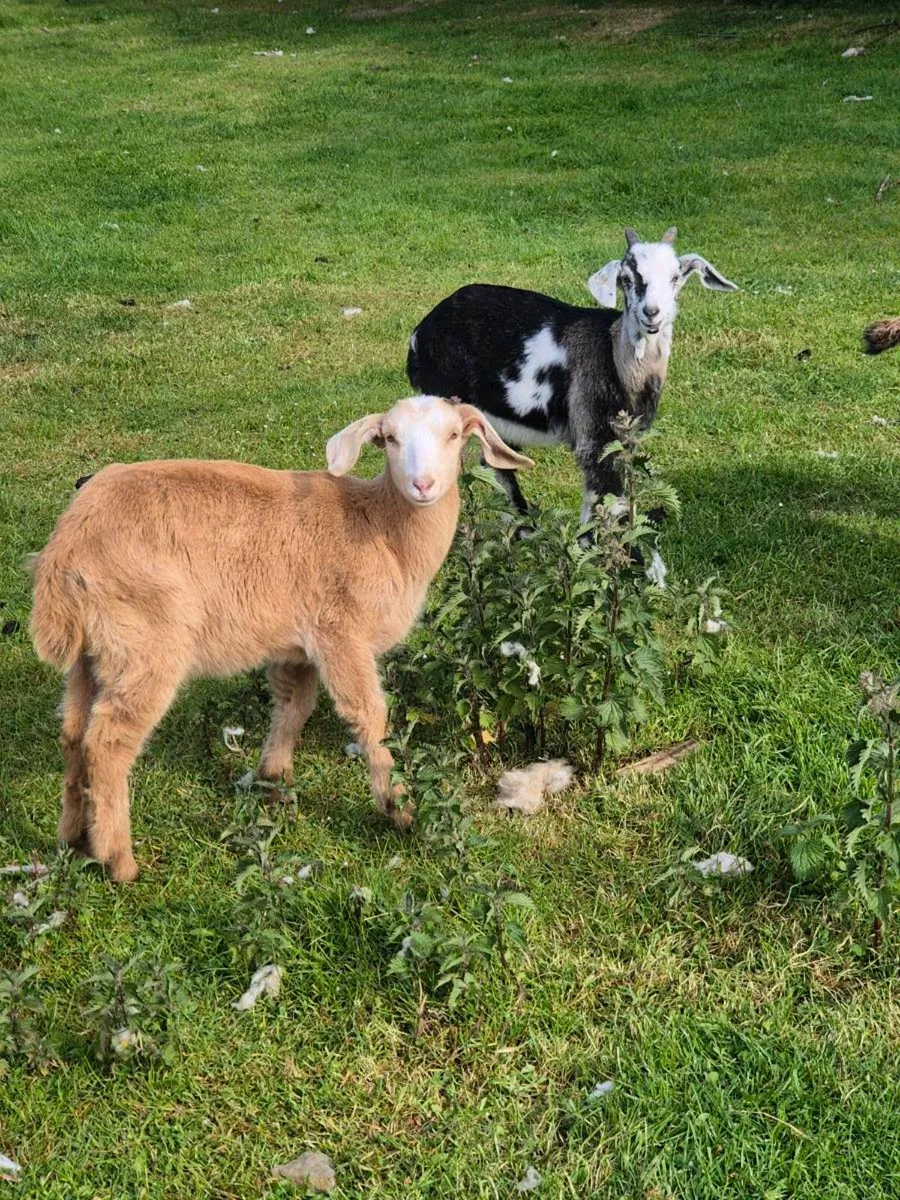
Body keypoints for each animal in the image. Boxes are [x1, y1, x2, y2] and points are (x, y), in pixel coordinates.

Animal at [29, 397, 532, 881]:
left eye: (454, 435)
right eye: (389, 438)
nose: (423, 485)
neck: (381, 529)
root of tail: (64, 552)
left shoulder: (297, 644)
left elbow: (294, 705)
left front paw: (273, 780)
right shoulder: (339, 631)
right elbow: (370, 716)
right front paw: (399, 807)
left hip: (95, 650)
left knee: (73, 734)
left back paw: (74, 838)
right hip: (147, 638)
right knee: (108, 741)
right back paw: (118, 861)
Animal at [407, 227, 737, 523]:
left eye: (675, 277)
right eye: (627, 279)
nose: (651, 313)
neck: (614, 356)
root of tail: (420, 332)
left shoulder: (624, 442)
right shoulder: (593, 439)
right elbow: (601, 507)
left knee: (496, 468)